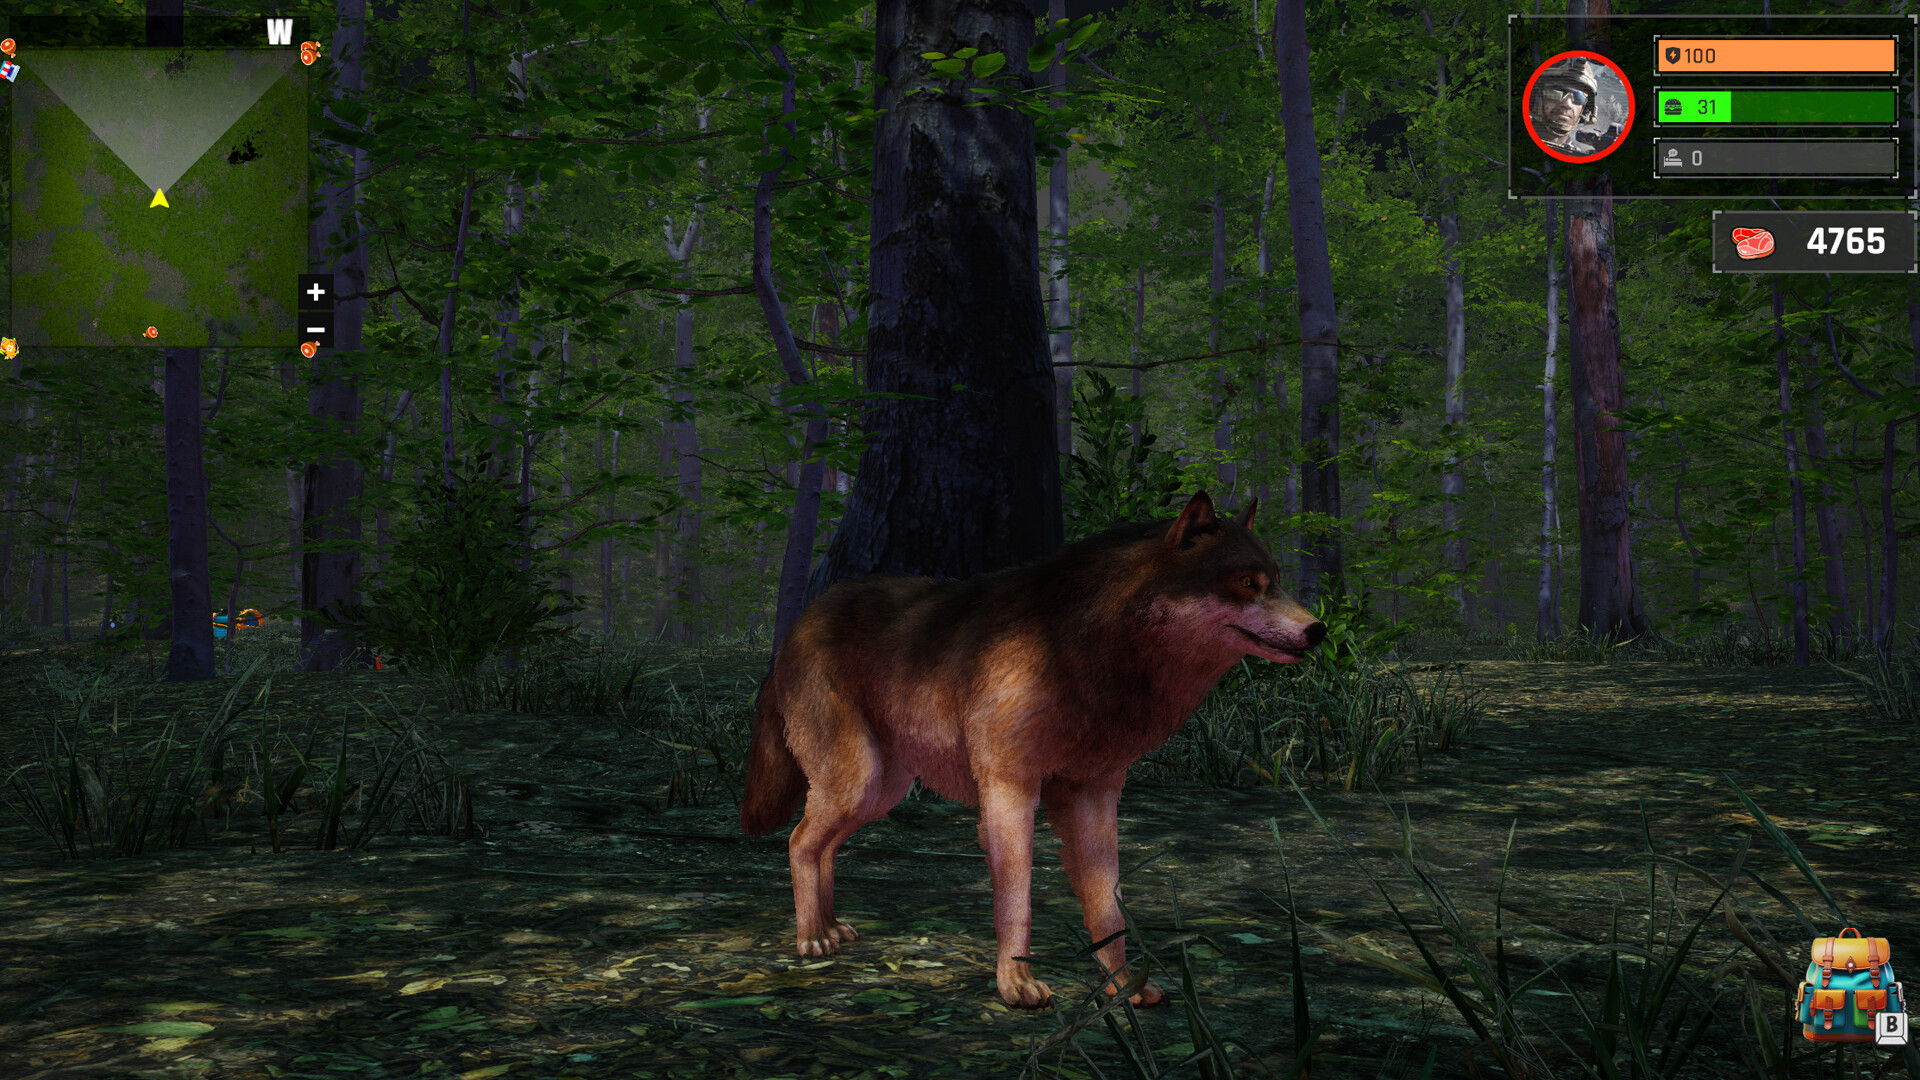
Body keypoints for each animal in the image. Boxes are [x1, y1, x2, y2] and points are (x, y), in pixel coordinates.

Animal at [739, 491, 1325, 1008]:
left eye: (1277, 581)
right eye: (1247, 583)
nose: (1318, 630)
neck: (1085, 650)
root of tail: (797, 624)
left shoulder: (1097, 797)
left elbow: (1108, 910)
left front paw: (1123, 989)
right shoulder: (1009, 790)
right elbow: (1016, 901)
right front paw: (1016, 986)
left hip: (878, 793)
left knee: (824, 846)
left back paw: (830, 926)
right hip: (856, 783)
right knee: (799, 841)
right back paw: (812, 937)